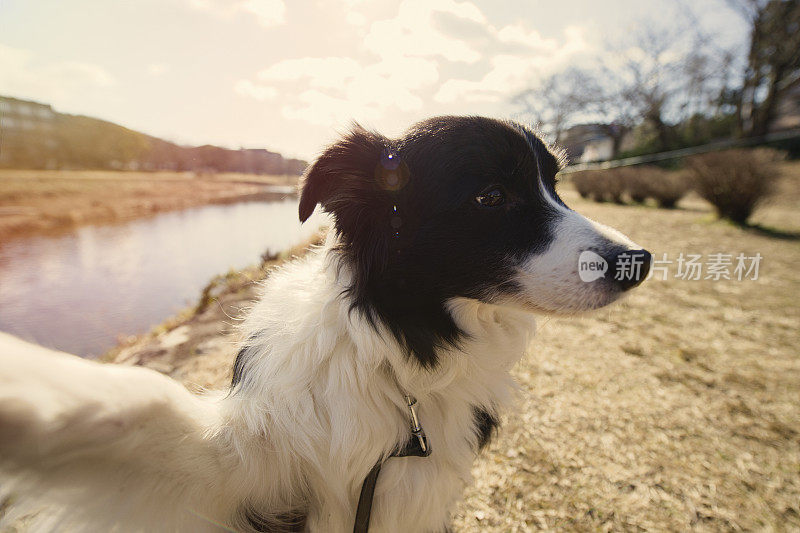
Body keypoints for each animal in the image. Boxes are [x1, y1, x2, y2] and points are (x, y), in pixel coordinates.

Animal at [0, 117, 648, 532]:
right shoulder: (247, 471)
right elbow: (144, 407)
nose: (638, 262)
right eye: (492, 196)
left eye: (555, 186)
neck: (398, 358)